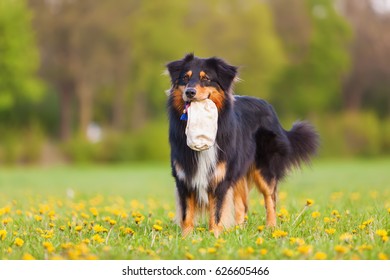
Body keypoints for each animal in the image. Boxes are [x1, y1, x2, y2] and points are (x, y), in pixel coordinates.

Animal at [166, 53, 318, 237]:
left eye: (206, 78)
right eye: (185, 78)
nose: (190, 92)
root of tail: (270, 108)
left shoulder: (220, 177)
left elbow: (216, 213)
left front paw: (214, 237)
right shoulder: (184, 177)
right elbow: (187, 215)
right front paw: (186, 238)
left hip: (264, 168)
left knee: (270, 198)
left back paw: (271, 228)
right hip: (239, 173)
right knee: (241, 207)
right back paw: (239, 230)